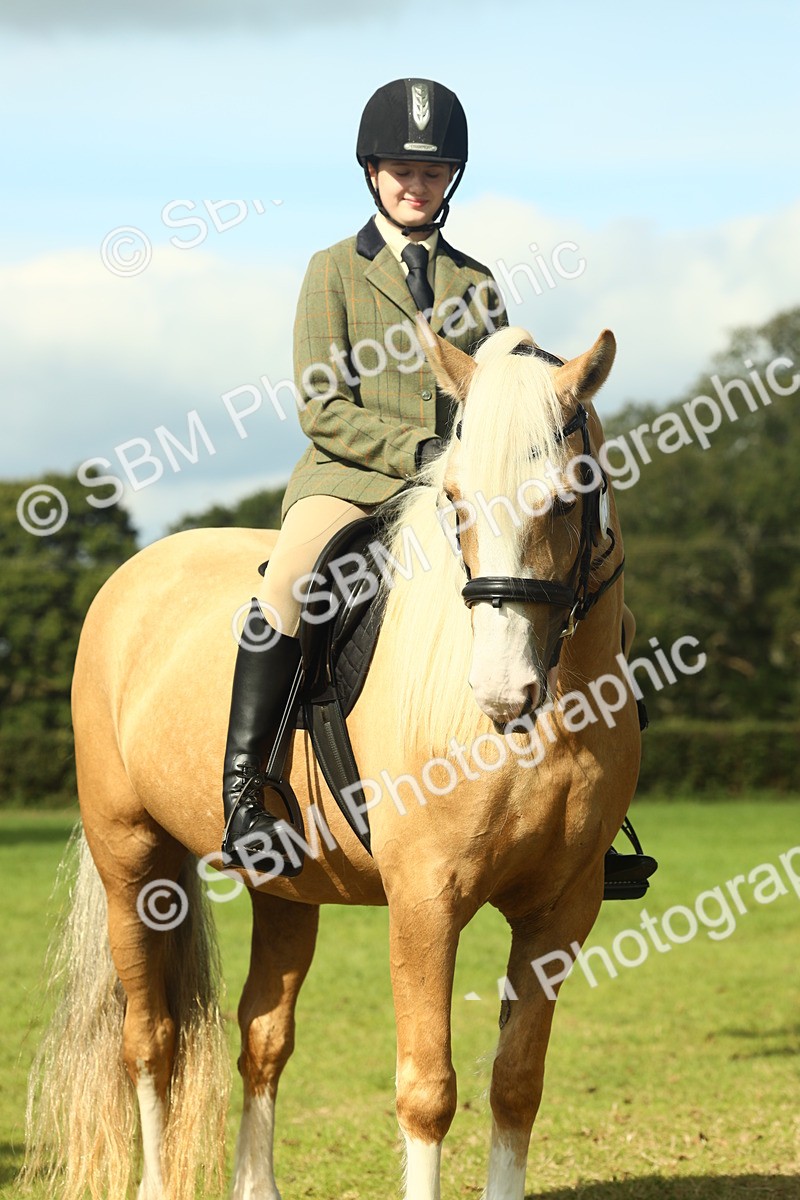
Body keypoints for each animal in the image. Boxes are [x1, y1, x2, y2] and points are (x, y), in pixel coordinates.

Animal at [23, 319, 641, 1200]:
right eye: (456, 504)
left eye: (564, 497)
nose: (501, 692)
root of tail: (133, 575)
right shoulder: (426, 900)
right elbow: (427, 1092)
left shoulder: (562, 907)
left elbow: (517, 1084)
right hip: (132, 865)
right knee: (150, 1041)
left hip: (286, 887)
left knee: (262, 1035)